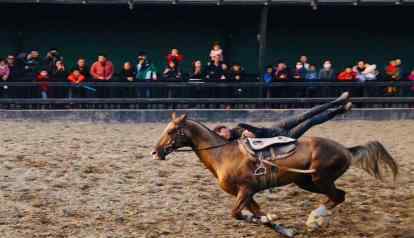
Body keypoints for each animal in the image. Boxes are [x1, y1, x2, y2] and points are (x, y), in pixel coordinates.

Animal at [152, 113, 398, 234]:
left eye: (172, 131)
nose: (155, 152)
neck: (223, 153)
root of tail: (346, 149)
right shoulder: (247, 194)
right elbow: (257, 214)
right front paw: (277, 224)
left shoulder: (245, 190)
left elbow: (236, 213)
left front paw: (270, 219)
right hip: (306, 181)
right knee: (339, 196)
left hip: (320, 178)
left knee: (337, 196)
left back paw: (315, 219)